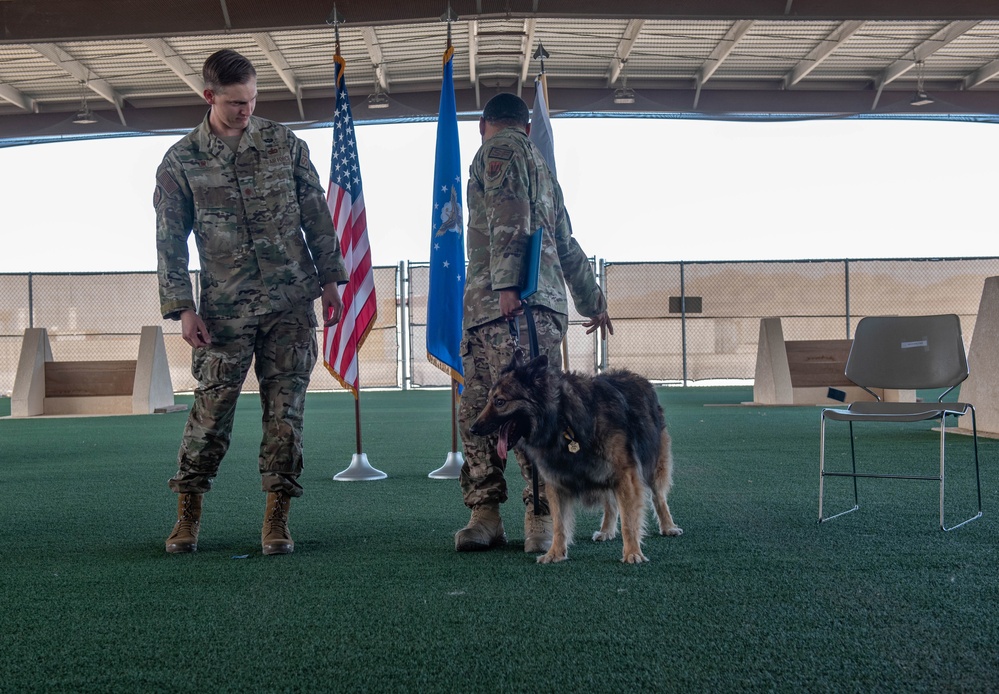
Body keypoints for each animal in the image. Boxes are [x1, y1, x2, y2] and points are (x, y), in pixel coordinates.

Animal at [472, 356, 684, 564]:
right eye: (488, 400)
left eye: (500, 402)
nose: (472, 429)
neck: (562, 418)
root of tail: (640, 378)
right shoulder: (556, 482)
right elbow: (559, 525)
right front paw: (555, 553)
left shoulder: (625, 476)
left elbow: (629, 522)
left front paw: (632, 552)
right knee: (610, 503)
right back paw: (606, 530)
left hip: (652, 466)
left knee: (658, 497)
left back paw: (668, 526)